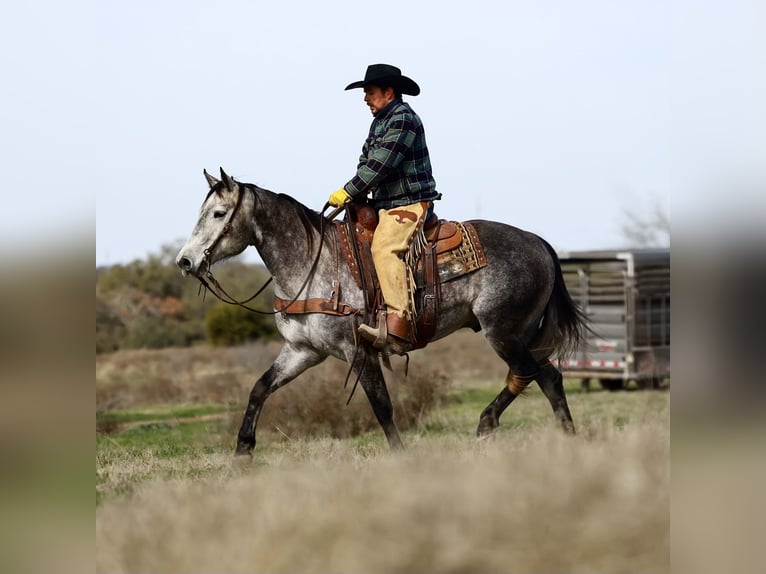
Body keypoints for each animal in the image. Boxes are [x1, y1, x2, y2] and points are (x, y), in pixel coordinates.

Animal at [176, 168, 586, 456]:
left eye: (219, 213)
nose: (185, 261)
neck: (311, 262)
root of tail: (539, 243)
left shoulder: (358, 350)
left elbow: (382, 405)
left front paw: (400, 455)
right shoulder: (303, 351)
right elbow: (260, 387)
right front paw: (243, 450)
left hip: (502, 330)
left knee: (528, 372)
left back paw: (488, 425)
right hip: (521, 333)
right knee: (548, 377)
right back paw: (567, 437)